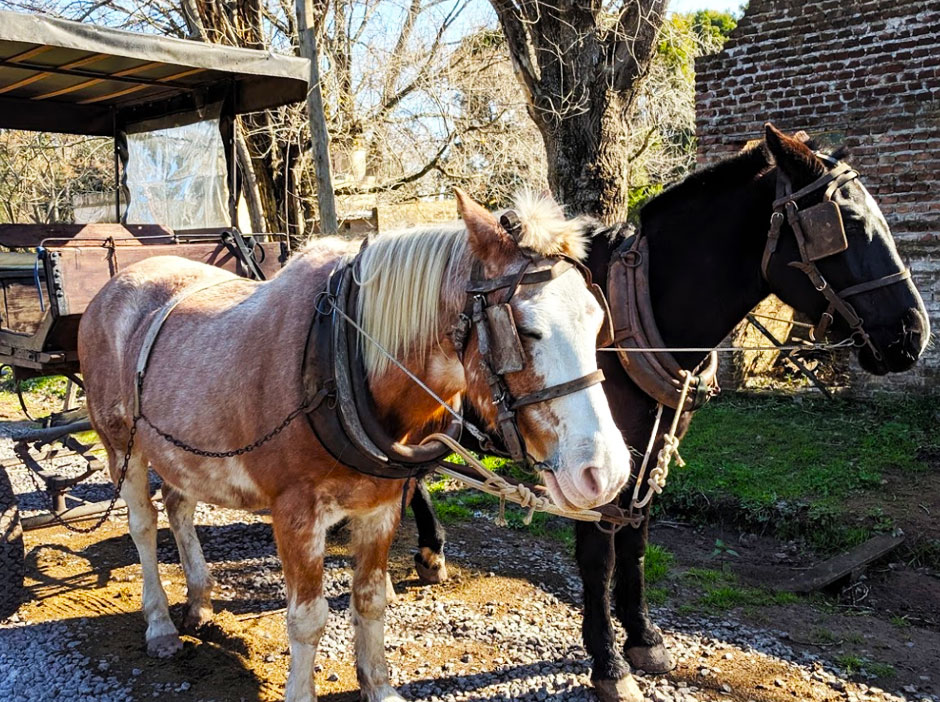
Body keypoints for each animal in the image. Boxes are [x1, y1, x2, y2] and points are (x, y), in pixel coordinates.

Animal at [75, 191, 632, 702]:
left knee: (180, 507)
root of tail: (117, 285)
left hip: (182, 452)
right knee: (144, 526)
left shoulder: (380, 508)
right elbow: (307, 618)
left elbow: (369, 602)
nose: (606, 471)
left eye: (596, 319)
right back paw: (160, 624)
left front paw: (379, 686)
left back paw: (199, 600)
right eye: (528, 330)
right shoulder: (295, 515)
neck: (338, 356)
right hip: (122, 445)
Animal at [408, 124, 928, 700]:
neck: (631, 316)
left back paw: (430, 550)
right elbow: (599, 558)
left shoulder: (647, 452)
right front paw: (608, 663)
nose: (913, 333)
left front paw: (643, 638)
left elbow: (636, 543)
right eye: (848, 225)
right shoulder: (594, 462)